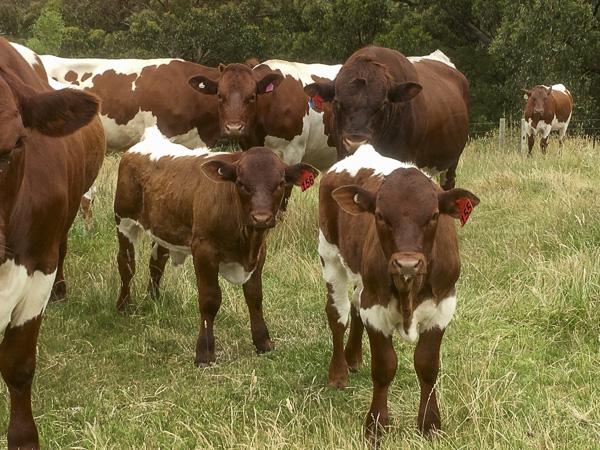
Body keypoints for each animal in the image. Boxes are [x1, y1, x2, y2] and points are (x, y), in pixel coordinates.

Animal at [113, 127, 318, 366]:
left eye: (280, 183)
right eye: (240, 183)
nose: (261, 218)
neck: (246, 242)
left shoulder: (260, 252)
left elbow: (255, 296)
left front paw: (263, 342)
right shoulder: (204, 251)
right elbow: (210, 299)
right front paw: (204, 352)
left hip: (163, 227)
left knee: (156, 262)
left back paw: (153, 298)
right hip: (124, 219)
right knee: (126, 264)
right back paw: (123, 306)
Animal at [318, 145, 478, 442]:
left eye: (434, 215)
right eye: (380, 215)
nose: (407, 263)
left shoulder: (444, 305)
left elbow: (428, 365)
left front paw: (430, 425)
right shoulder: (375, 306)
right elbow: (384, 367)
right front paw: (376, 426)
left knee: (354, 304)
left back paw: (353, 357)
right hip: (329, 254)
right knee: (338, 314)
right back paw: (339, 372)